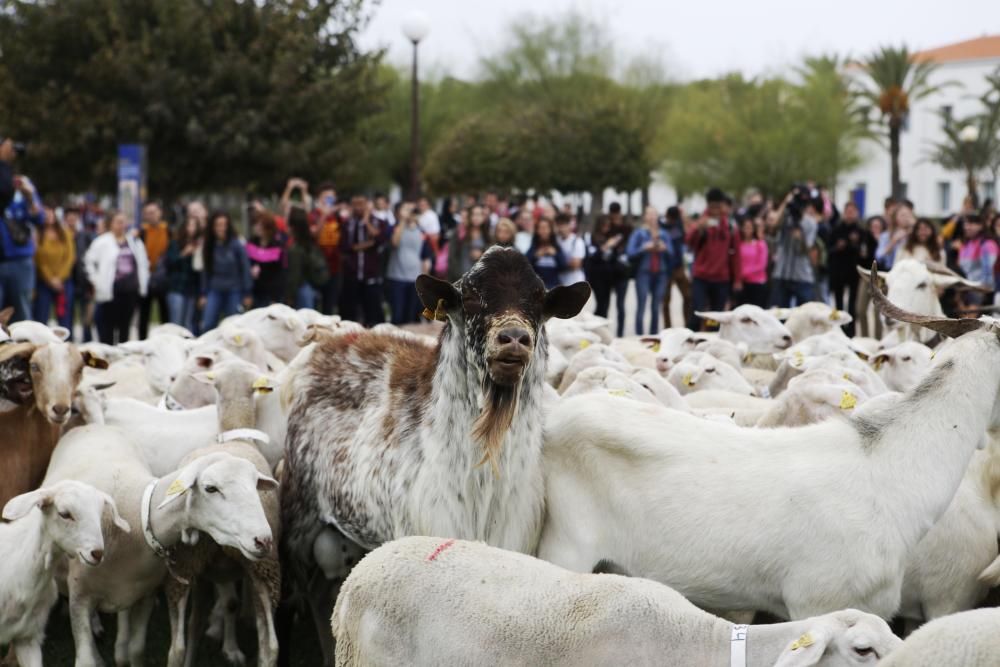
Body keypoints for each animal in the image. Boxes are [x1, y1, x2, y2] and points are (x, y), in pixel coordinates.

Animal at [43, 428, 278, 667]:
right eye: (211, 488)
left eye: (255, 485)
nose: (264, 540)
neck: (133, 524)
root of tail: (90, 427)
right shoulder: (79, 600)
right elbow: (85, 660)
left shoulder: (145, 595)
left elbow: (136, 650)